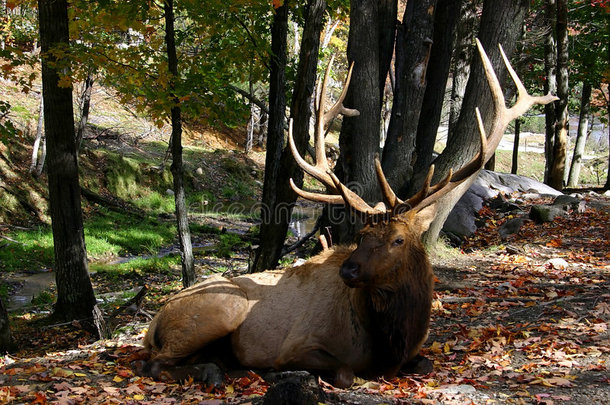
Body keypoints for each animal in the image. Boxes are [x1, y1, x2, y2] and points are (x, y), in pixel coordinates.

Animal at [141, 39, 556, 386]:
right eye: (360, 236)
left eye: (398, 239)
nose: (349, 270)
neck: (391, 340)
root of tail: (154, 321)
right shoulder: (298, 345)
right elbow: (344, 373)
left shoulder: (416, 352)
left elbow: (425, 362)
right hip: (221, 308)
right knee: (153, 364)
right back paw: (213, 371)